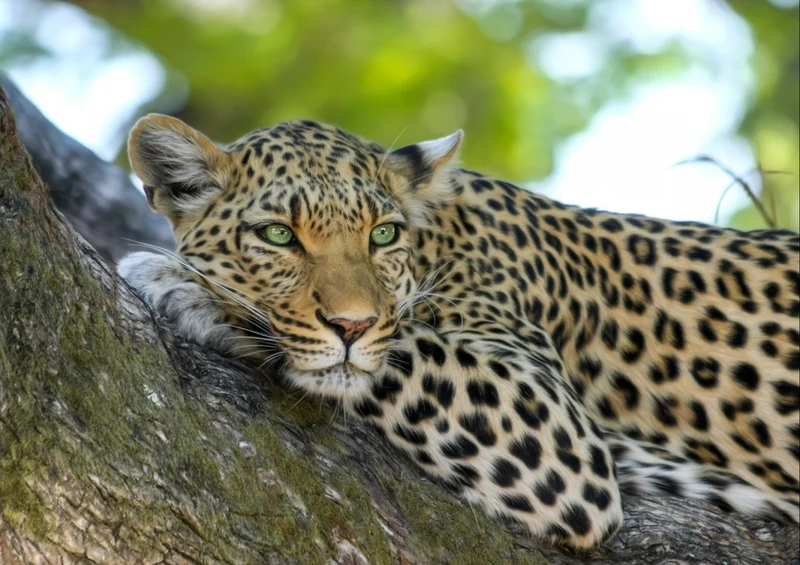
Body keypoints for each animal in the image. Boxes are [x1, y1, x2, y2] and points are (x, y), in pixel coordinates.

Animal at [118, 114, 800, 549]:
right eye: (279, 235)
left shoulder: (556, 429)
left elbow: (400, 349)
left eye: (382, 235)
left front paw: (184, 284)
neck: (439, 241)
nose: (351, 324)